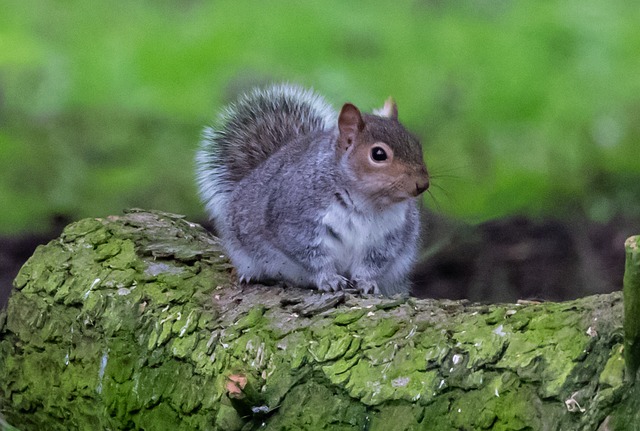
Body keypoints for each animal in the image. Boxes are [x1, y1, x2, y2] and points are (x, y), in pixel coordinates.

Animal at [195, 86, 430, 298]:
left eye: (417, 145)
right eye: (378, 154)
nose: (422, 184)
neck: (365, 201)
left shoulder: (388, 237)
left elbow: (373, 263)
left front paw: (366, 282)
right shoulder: (296, 222)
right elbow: (313, 257)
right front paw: (329, 279)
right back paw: (252, 275)